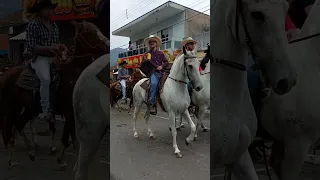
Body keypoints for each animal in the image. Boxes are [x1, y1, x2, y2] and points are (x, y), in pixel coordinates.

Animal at [0, 20, 109, 167]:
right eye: (90, 32)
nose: (107, 45)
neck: (73, 74)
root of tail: (6, 74)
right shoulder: (69, 112)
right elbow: (66, 137)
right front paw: (61, 160)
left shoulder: (73, 115)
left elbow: (71, 137)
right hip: (11, 107)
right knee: (11, 127)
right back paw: (17, 156)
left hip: (28, 108)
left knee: (18, 124)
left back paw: (28, 152)